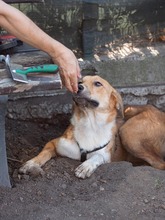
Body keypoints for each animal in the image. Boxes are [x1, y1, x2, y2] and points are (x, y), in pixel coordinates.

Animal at [19, 75, 165, 178]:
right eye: (80, 81)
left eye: (98, 83)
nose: (78, 87)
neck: (90, 123)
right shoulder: (55, 143)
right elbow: (43, 153)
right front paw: (31, 163)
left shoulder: (106, 156)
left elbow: (98, 156)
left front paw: (86, 166)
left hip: (127, 132)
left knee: (160, 164)